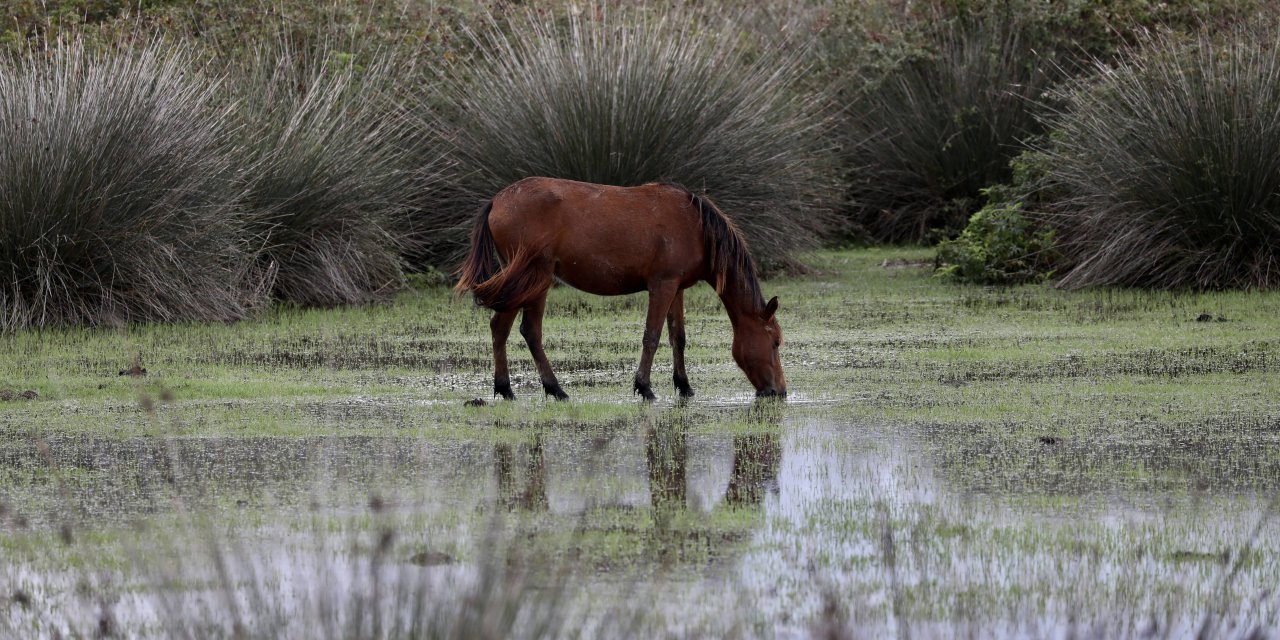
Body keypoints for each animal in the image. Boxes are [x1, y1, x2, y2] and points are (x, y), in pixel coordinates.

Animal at [455, 175, 783, 401]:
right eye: (776, 342)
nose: (779, 390)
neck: (696, 226)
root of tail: (497, 201)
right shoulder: (662, 286)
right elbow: (652, 336)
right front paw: (644, 386)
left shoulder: (677, 288)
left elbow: (678, 337)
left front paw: (684, 385)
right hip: (534, 279)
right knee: (528, 331)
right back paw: (553, 388)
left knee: (501, 328)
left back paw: (506, 388)